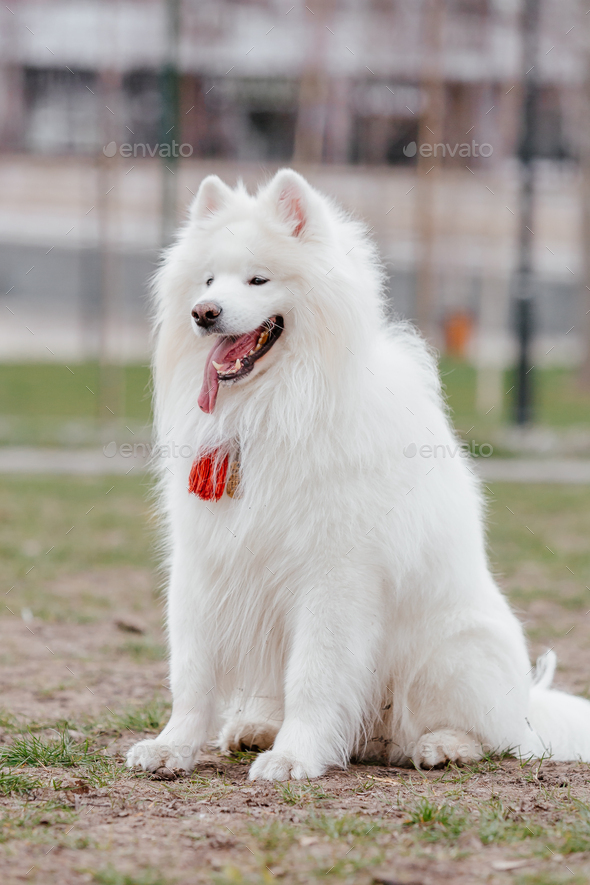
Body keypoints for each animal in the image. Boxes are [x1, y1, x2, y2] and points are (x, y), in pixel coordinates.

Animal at [128, 169, 590, 776]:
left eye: (258, 279)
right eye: (208, 279)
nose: (203, 311)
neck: (272, 409)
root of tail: (531, 704)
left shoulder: (335, 576)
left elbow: (315, 676)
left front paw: (293, 758)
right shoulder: (204, 563)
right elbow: (191, 674)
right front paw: (172, 747)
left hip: (452, 654)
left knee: (494, 736)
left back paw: (441, 746)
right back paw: (258, 728)